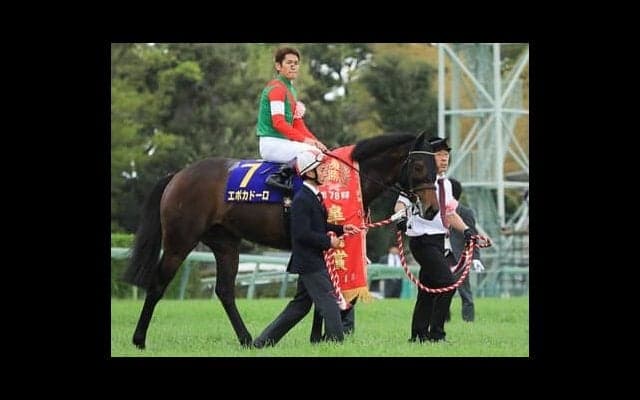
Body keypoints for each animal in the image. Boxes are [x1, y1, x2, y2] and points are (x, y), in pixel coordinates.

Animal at [122, 132, 440, 349]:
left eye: (436, 168)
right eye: (419, 167)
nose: (432, 209)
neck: (341, 179)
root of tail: (179, 174)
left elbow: (317, 292)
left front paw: (318, 338)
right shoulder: (317, 239)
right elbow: (319, 290)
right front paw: (323, 336)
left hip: (226, 244)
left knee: (224, 290)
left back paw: (246, 339)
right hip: (180, 241)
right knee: (158, 285)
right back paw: (139, 339)